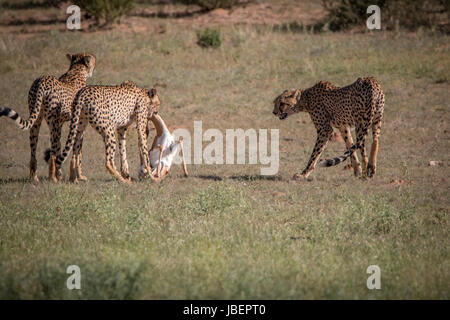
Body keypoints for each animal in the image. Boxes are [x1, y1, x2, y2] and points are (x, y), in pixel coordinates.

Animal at [0, 52, 96, 182]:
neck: (76, 71)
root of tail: (42, 80)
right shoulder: (78, 123)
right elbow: (77, 151)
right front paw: (79, 176)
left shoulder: (61, 123)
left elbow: (61, 148)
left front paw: (64, 174)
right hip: (53, 122)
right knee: (52, 154)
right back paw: (53, 178)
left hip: (37, 119)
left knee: (34, 150)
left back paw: (35, 177)